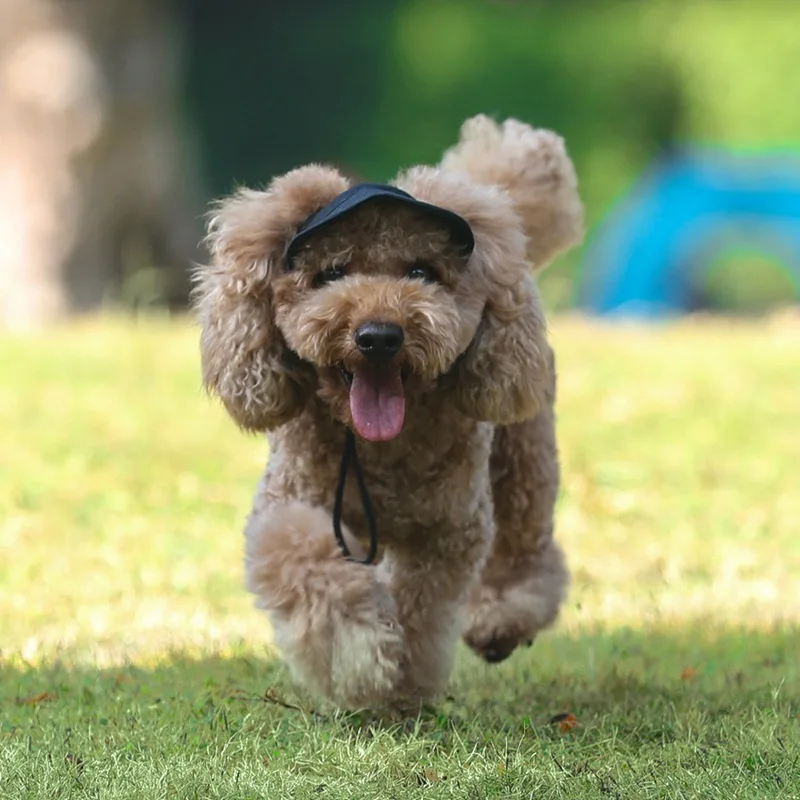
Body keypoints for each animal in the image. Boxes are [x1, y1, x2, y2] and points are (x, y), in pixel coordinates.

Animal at [194, 114, 580, 708]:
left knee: (527, 544)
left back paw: (501, 619)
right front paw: (360, 660)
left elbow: (421, 609)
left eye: (421, 271)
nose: (378, 336)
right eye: (330, 274)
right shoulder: (290, 506)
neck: (381, 453)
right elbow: (304, 560)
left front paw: (401, 683)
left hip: (523, 456)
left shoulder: (447, 531)